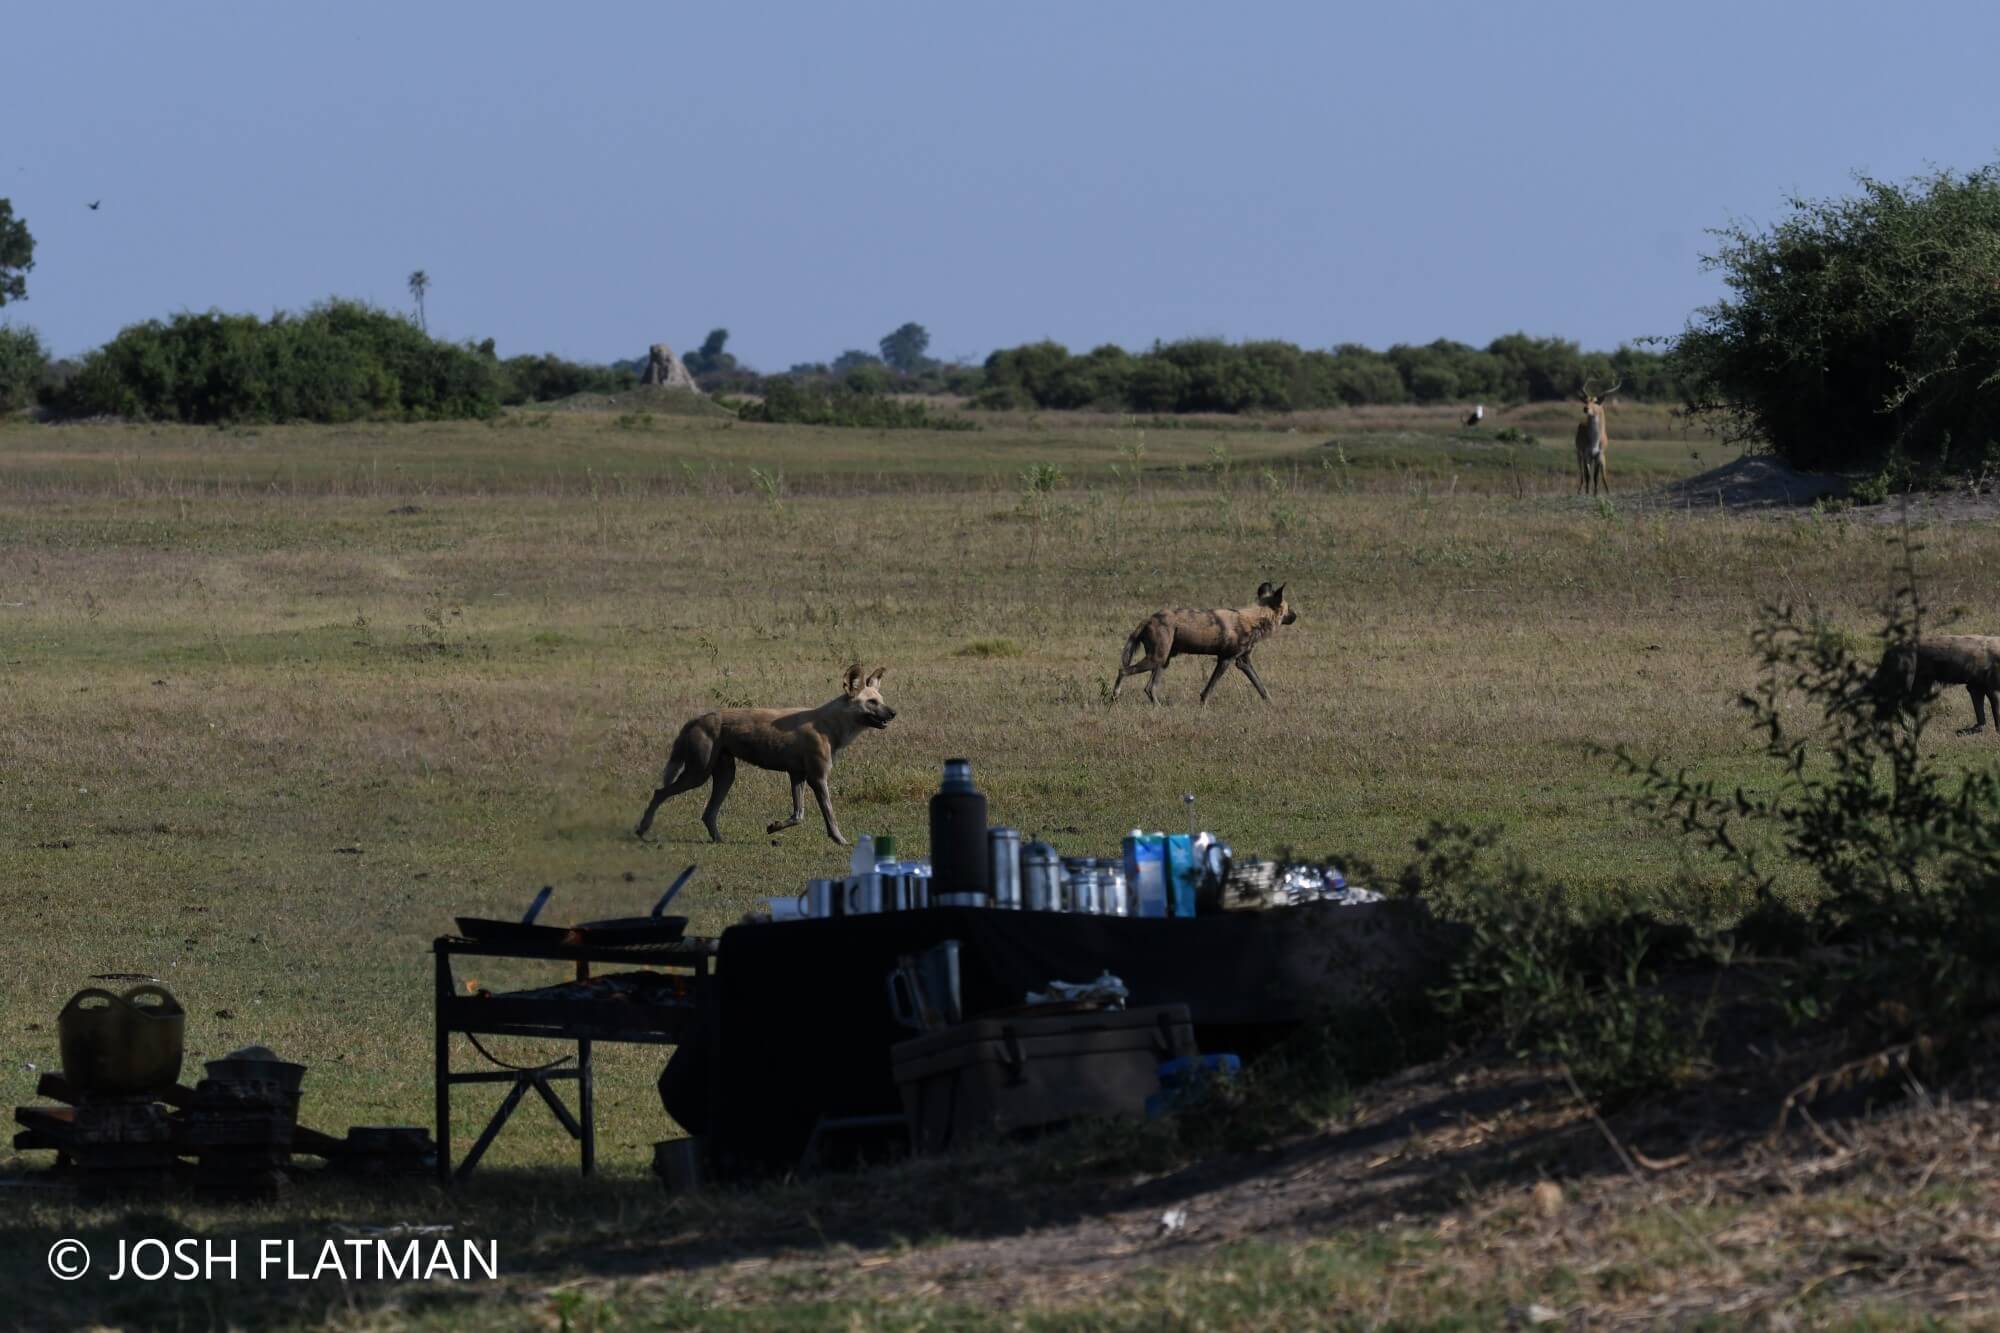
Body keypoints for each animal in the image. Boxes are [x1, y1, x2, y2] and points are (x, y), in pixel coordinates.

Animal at [636, 664, 896, 840]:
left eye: (881, 700)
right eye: (872, 702)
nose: (893, 712)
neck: (831, 724)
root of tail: (698, 719)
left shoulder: (798, 776)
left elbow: (798, 815)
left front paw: (774, 827)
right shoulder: (818, 779)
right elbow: (830, 816)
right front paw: (840, 840)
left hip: (725, 776)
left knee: (708, 813)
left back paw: (719, 839)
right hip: (697, 775)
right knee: (660, 792)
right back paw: (642, 829)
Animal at [1112, 580, 1296, 704]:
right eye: (1288, 609)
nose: (1296, 615)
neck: (1254, 619)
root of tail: (1148, 619)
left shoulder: (1243, 661)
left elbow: (1261, 686)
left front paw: (1271, 704)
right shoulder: (1226, 660)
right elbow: (1209, 688)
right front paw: (1203, 704)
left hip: (1163, 661)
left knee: (1149, 688)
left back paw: (1158, 707)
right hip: (1155, 659)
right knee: (1123, 671)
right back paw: (1115, 696)